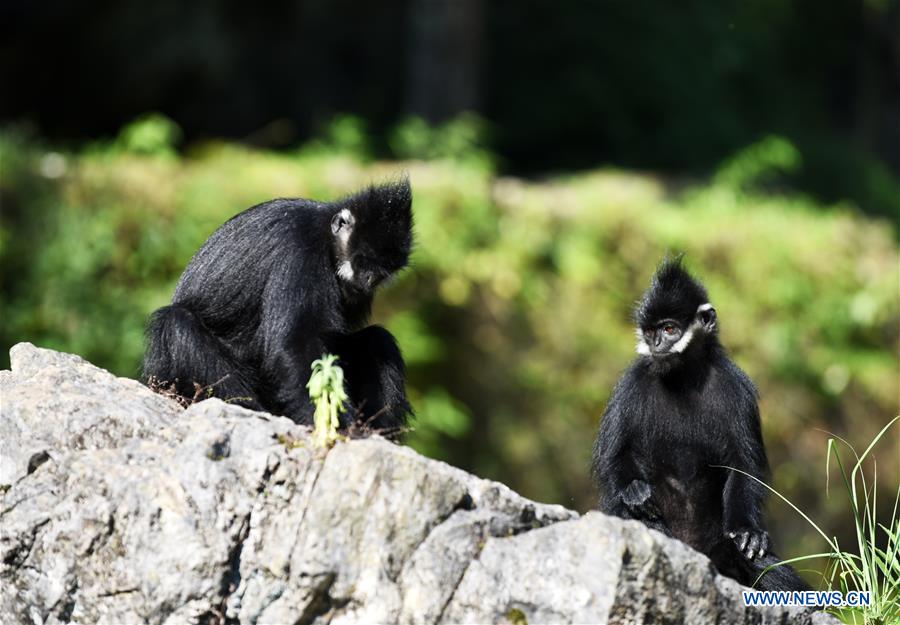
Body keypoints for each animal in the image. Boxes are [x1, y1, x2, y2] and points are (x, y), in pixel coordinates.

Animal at [142, 178, 414, 432]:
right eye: (363, 261)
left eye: (383, 272)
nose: (369, 280)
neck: (325, 236)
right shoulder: (300, 249)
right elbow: (296, 342)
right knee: (176, 323)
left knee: (378, 340)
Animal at [592, 258, 808, 588]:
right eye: (651, 331)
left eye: (669, 329)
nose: (657, 344)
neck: (683, 378)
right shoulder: (632, 383)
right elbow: (613, 456)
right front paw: (634, 491)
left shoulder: (736, 388)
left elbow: (743, 465)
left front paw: (748, 532)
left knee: (761, 563)